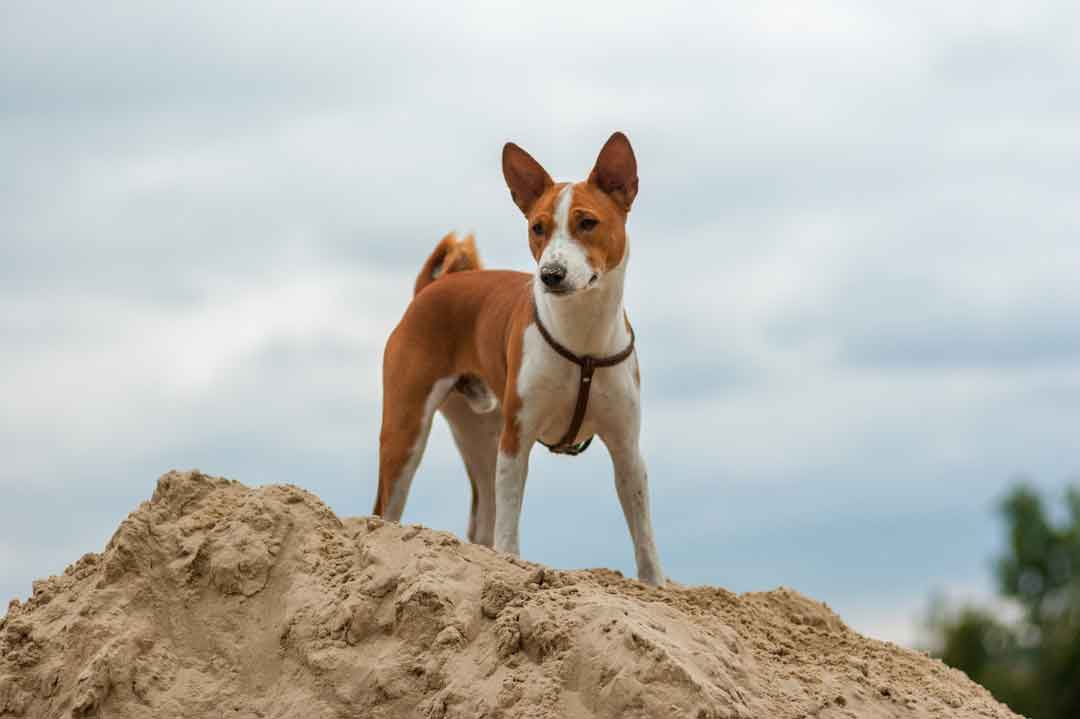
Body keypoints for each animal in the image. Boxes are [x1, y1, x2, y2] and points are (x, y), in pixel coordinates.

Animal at [375, 131, 660, 587]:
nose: (550, 275)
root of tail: (429, 289)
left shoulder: (627, 447)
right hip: (407, 432)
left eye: (587, 223)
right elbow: (509, 529)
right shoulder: (517, 439)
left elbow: (644, 535)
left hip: (483, 435)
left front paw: (655, 585)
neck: (582, 338)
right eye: (537, 228)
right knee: (386, 510)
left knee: (481, 524)